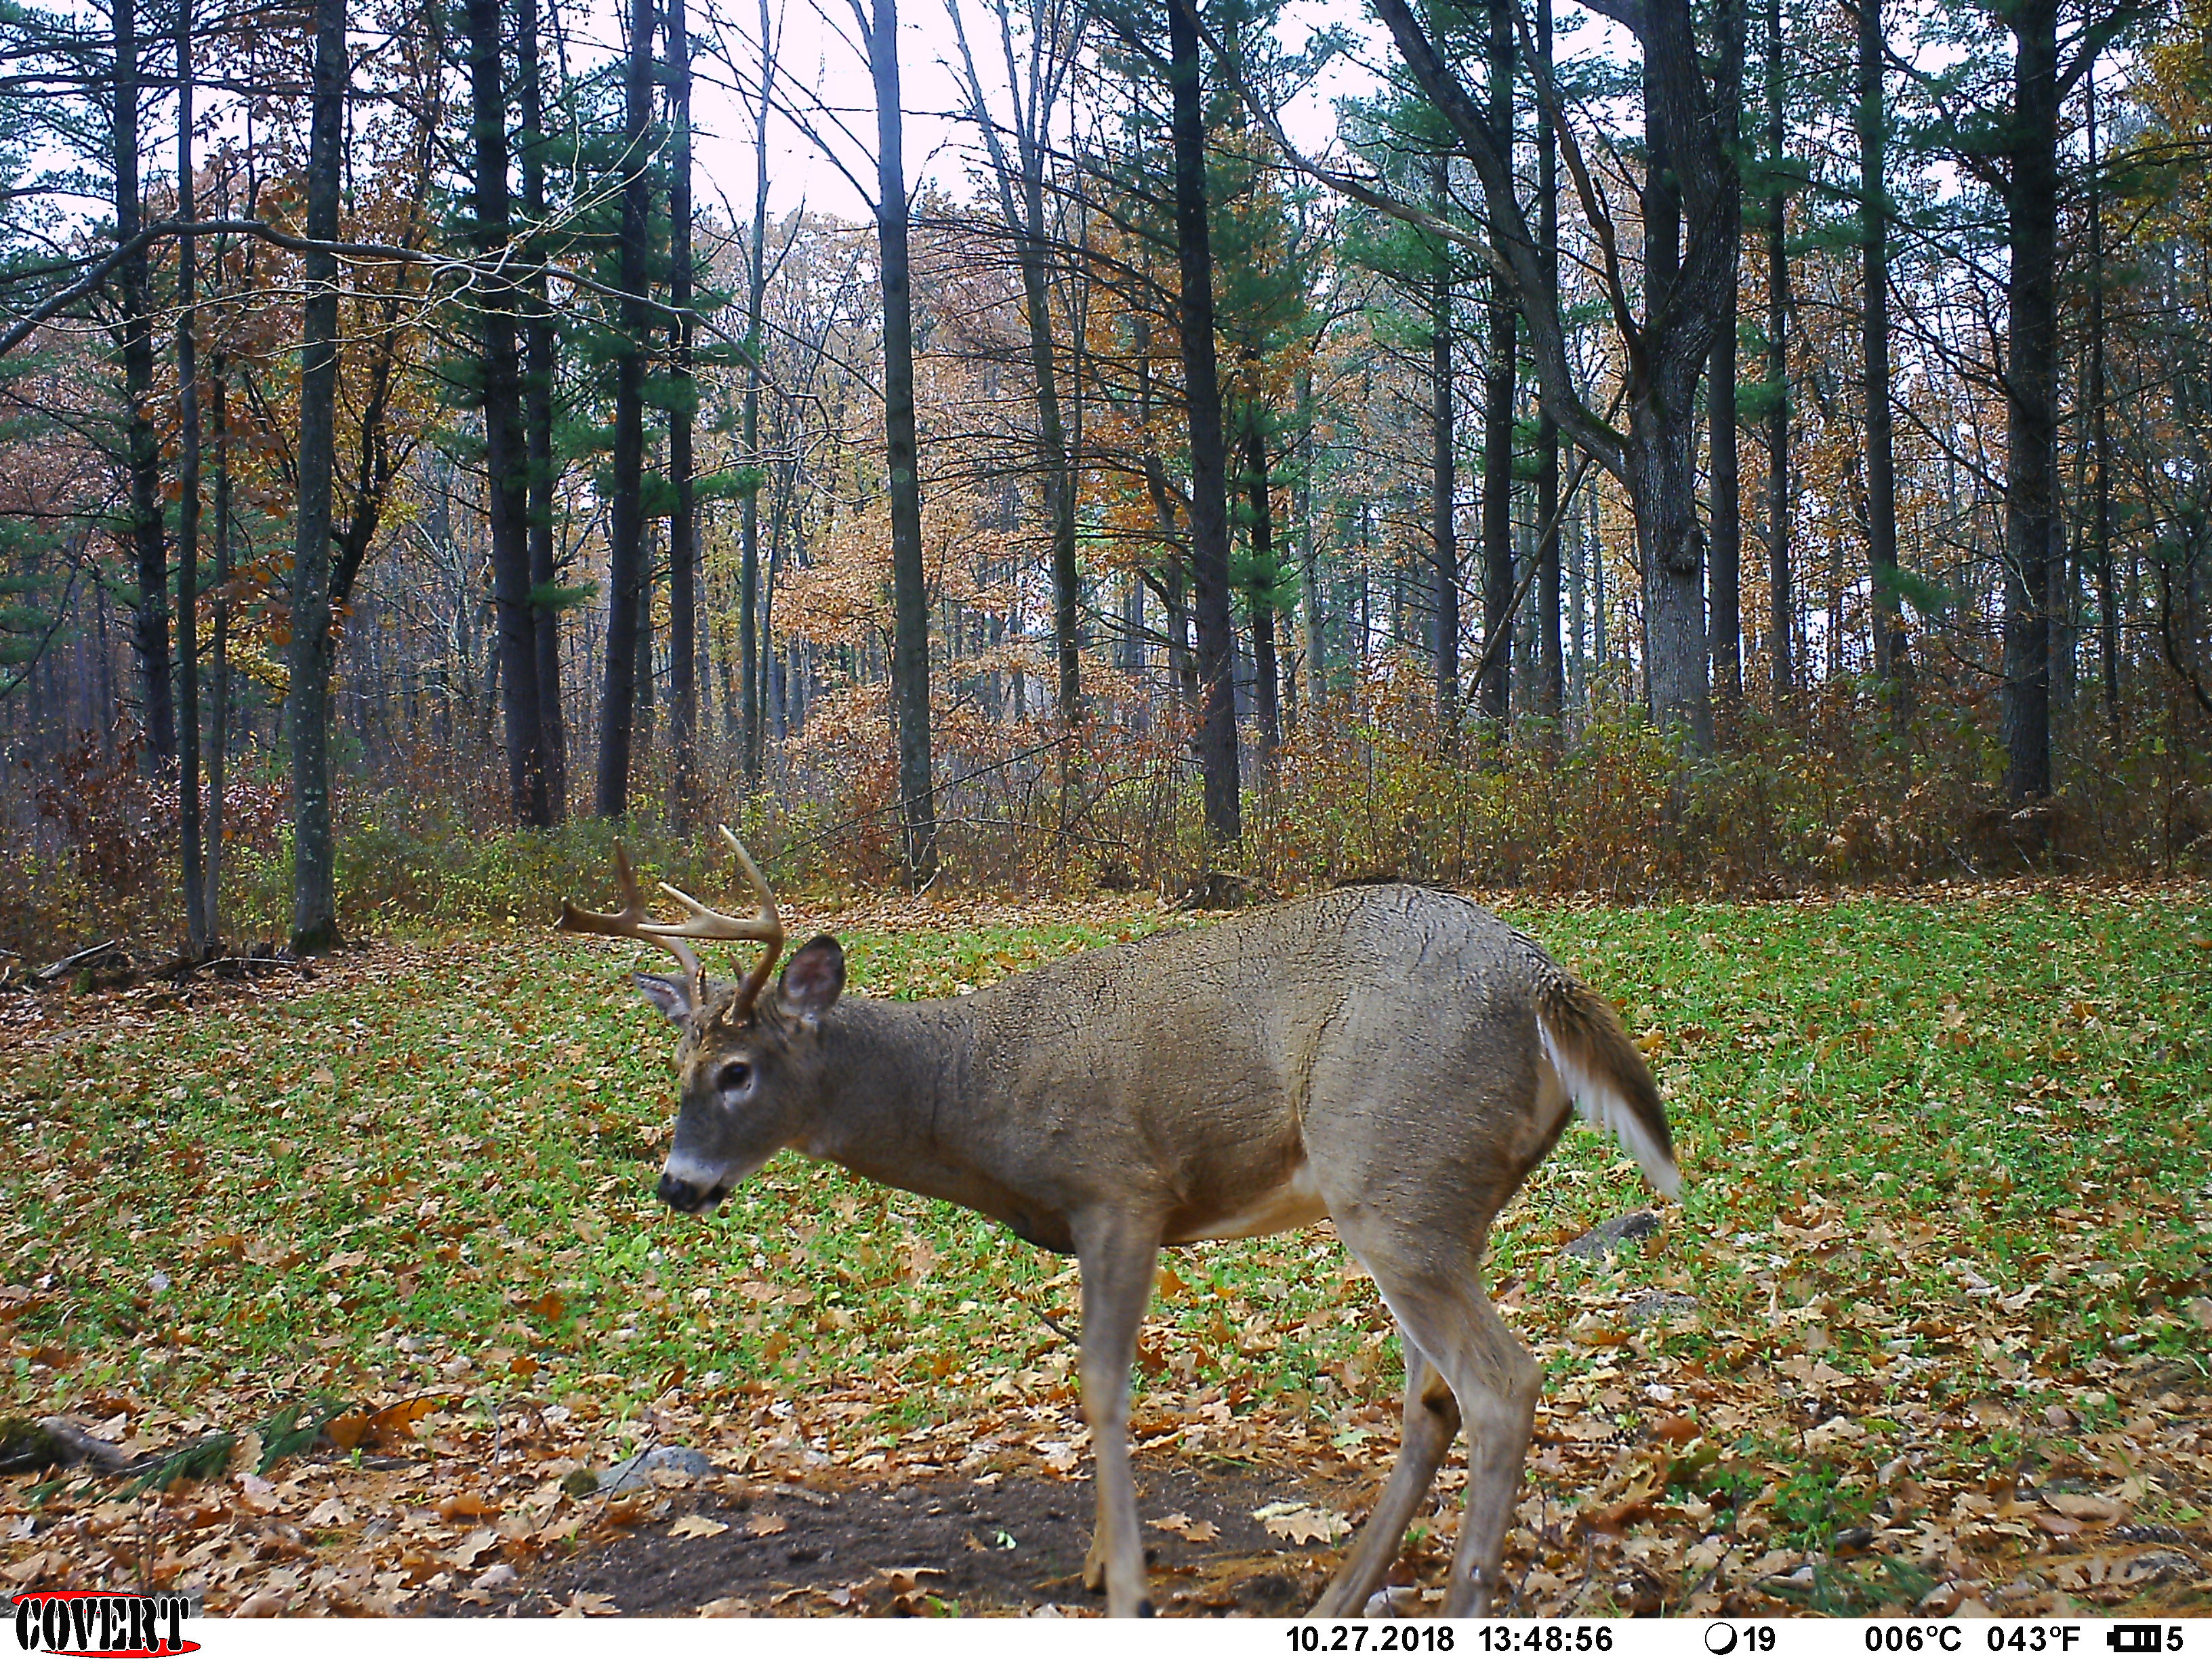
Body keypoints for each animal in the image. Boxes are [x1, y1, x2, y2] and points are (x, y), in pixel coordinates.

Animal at [566, 836, 1672, 1619]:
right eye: (678, 1069)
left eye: (737, 1072)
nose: (677, 1185)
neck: (970, 1095)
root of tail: (1544, 981)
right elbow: (1097, 1384)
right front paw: (1102, 1564)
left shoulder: (1122, 1191)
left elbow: (1101, 1386)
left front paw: (1127, 1584)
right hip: (1429, 1200)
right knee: (1433, 1402)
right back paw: (1335, 1598)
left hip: (1390, 1172)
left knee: (1501, 1384)